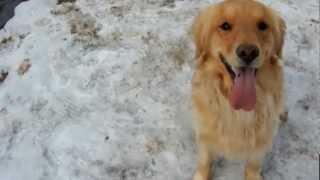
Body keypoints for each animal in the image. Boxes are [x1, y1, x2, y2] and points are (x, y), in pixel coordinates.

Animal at [191, 0, 286, 180]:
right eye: (225, 26)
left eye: (263, 25)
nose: (248, 52)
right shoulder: (205, 133)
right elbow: (205, 160)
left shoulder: (261, 139)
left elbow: (253, 164)